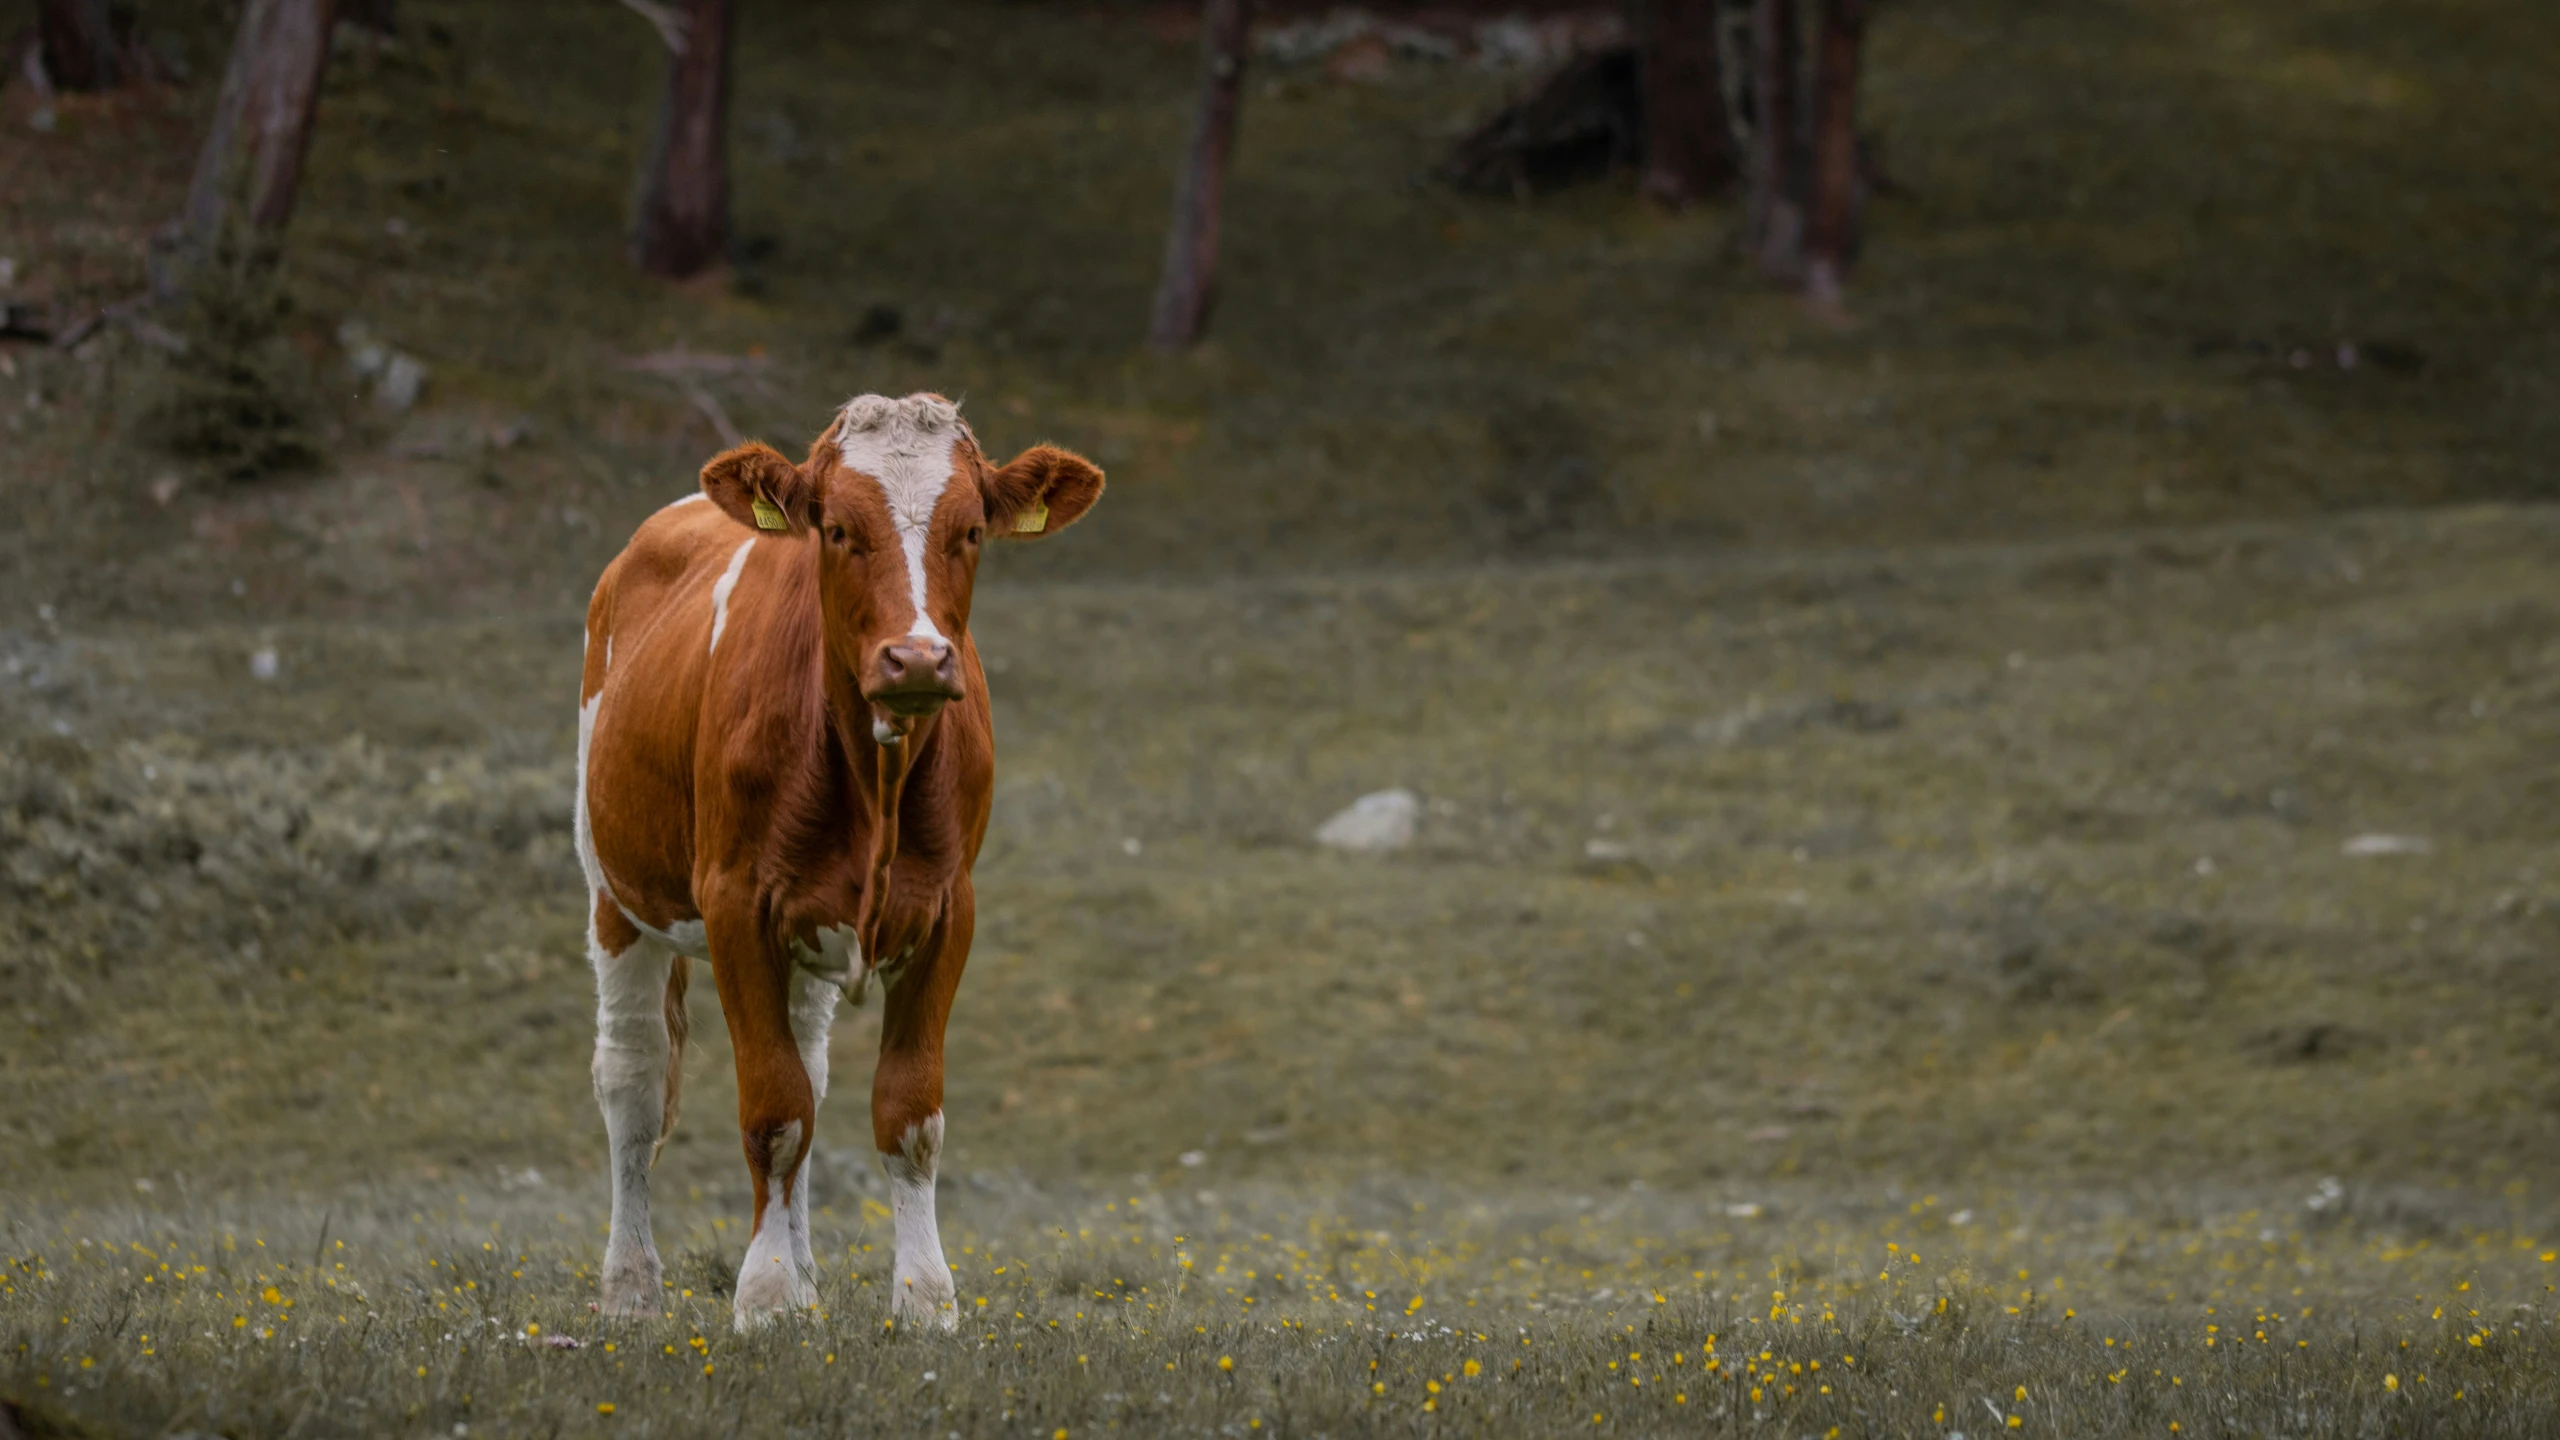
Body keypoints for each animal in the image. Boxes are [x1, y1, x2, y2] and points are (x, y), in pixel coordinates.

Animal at [576, 389, 1105, 1322]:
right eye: (835, 529)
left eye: (972, 530)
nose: (917, 656)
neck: (874, 781)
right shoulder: (736, 905)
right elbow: (772, 1110)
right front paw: (765, 1297)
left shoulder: (948, 910)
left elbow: (906, 1113)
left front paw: (924, 1300)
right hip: (615, 892)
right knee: (632, 1081)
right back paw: (632, 1287)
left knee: (811, 1072)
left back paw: (807, 1272)